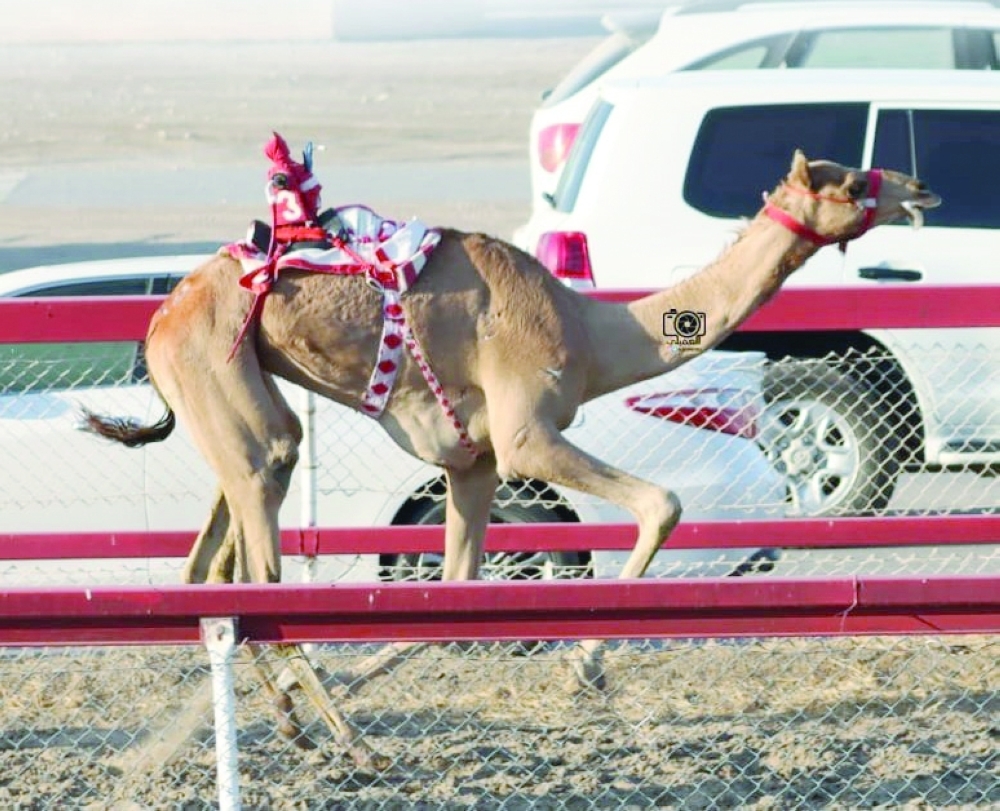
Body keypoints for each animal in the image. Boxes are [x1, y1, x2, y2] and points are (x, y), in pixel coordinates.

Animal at [83, 149, 939, 765]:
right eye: (851, 178)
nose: (918, 187)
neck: (595, 332)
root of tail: (160, 317)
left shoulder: (475, 463)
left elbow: (456, 595)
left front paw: (354, 681)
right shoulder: (527, 433)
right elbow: (661, 504)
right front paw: (583, 666)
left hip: (238, 399)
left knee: (210, 566)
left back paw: (290, 720)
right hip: (225, 380)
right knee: (261, 558)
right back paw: (353, 744)